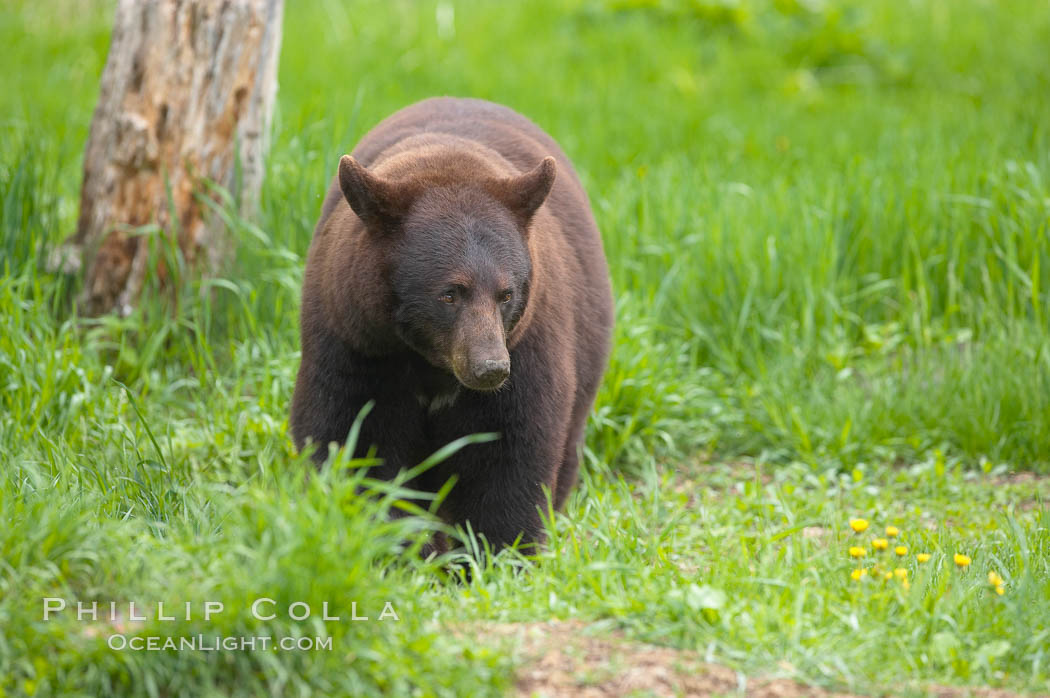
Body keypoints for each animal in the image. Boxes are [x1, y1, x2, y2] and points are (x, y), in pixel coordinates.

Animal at [289, 98, 613, 554]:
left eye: (506, 294)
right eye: (449, 294)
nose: (490, 368)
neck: (432, 365)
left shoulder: (529, 345)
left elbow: (508, 452)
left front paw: (497, 551)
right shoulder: (356, 339)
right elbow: (354, 437)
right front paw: (396, 543)